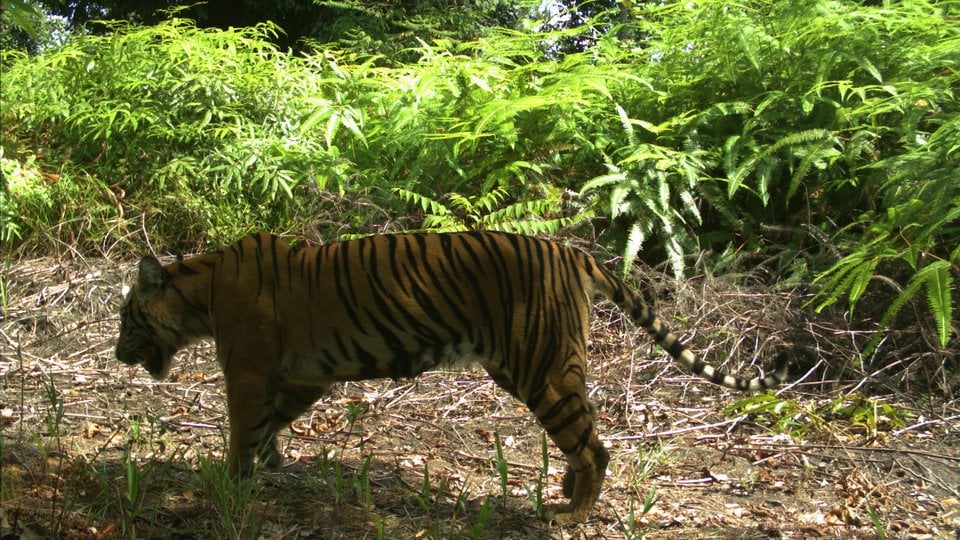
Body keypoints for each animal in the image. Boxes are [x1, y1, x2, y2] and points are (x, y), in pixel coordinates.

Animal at [116, 231, 789, 523]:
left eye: (126, 317)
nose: (119, 353)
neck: (199, 291)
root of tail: (570, 251)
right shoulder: (306, 375)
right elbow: (271, 421)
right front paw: (272, 462)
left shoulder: (250, 370)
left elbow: (240, 429)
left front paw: (230, 480)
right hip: (539, 367)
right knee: (586, 437)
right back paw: (564, 495)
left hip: (540, 367)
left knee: (595, 447)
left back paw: (570, 517)